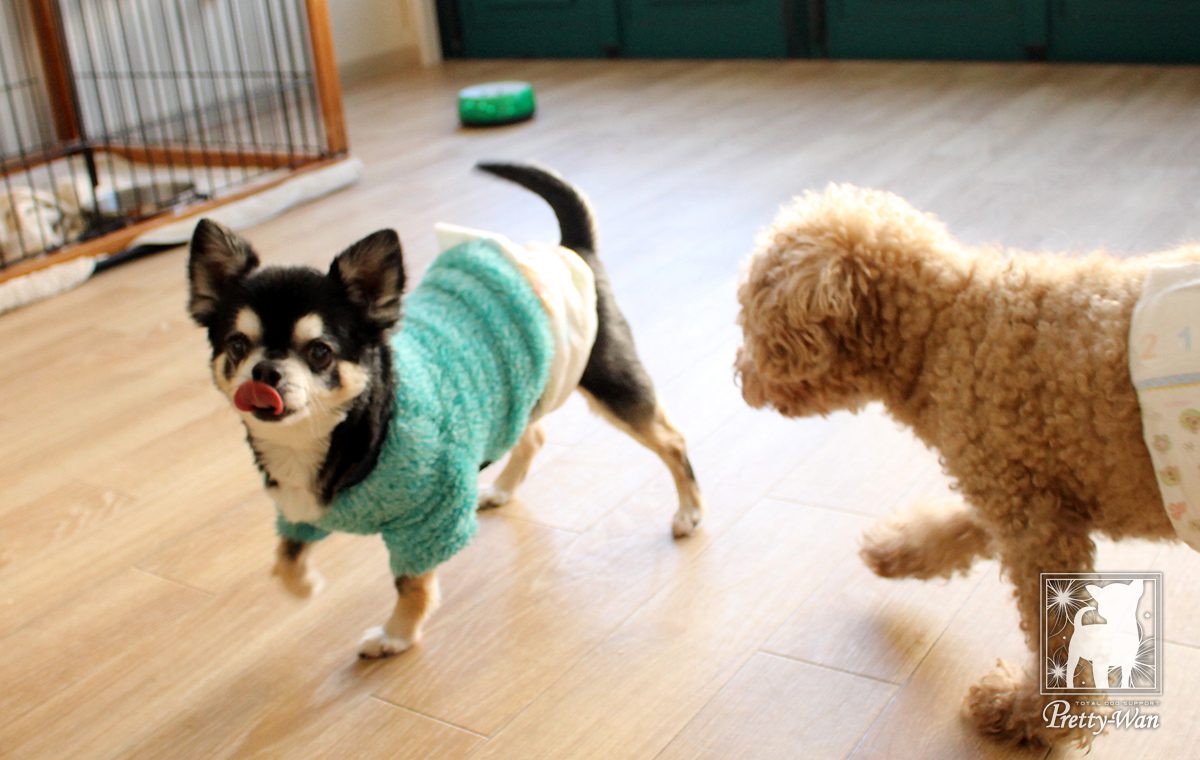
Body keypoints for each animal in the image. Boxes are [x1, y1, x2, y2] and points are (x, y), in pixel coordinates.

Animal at [187, 162, 703, 658]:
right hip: (524, 389)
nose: (264, 372)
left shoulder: (428, 519)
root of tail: (570, 249)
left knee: (672, 440)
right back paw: (501, 489)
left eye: (319, 352)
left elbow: (410, 583)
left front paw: (396, 636)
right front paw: (304, 586)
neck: (329, 436)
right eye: (237, 345)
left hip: (611, 381)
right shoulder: (299, 508)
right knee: (533, 434)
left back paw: (690, 513)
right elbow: (285, 556)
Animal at [734, 183, 1194, 747]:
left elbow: (1057, 632)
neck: (942, 333)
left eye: (750, 319)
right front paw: (898, 550)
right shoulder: (1011, 485)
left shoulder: (1034, 525)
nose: (741, 377)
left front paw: (1038, 713)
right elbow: (956, 526)